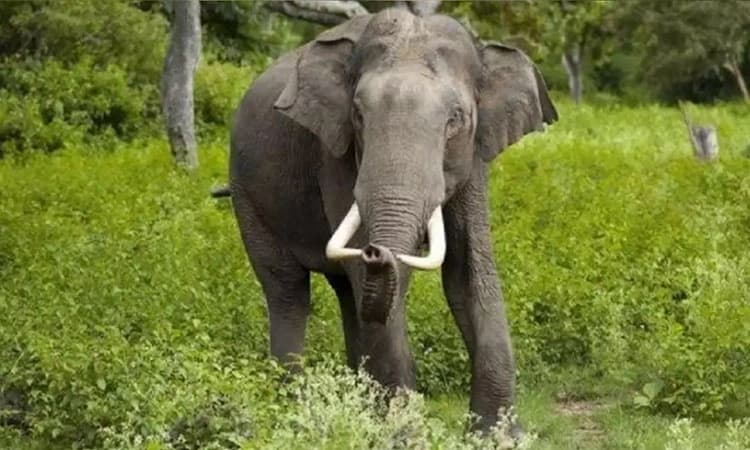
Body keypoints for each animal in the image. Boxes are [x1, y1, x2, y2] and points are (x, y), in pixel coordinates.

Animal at [225, 8, 557, 435]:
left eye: (456, 119)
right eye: (358, 115)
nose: (375, 251)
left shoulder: (474, 157)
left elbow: (469, 272)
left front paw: (498, 437)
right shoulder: (335, 153)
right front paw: (404, 434)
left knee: (347, 295)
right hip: (247, 194)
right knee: (288, 291)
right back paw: (293, 411)